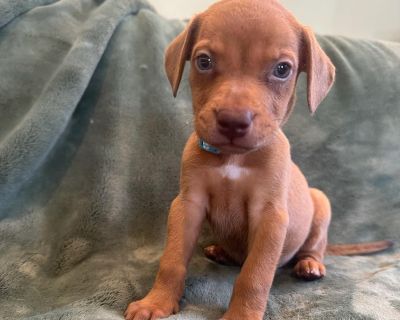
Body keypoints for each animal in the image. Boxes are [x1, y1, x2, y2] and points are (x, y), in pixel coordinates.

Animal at [126, 1, 394, 318]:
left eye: (282, 69)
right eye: (203, 61)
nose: (233, 121)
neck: (234, 159)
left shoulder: (270, 217)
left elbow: (255, 275)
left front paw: (241, 315)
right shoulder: (187, 205)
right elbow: (172, 259)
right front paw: (155, 302)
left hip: (320, 201)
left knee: (314, 244)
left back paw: (310, 264)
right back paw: (221, 251)